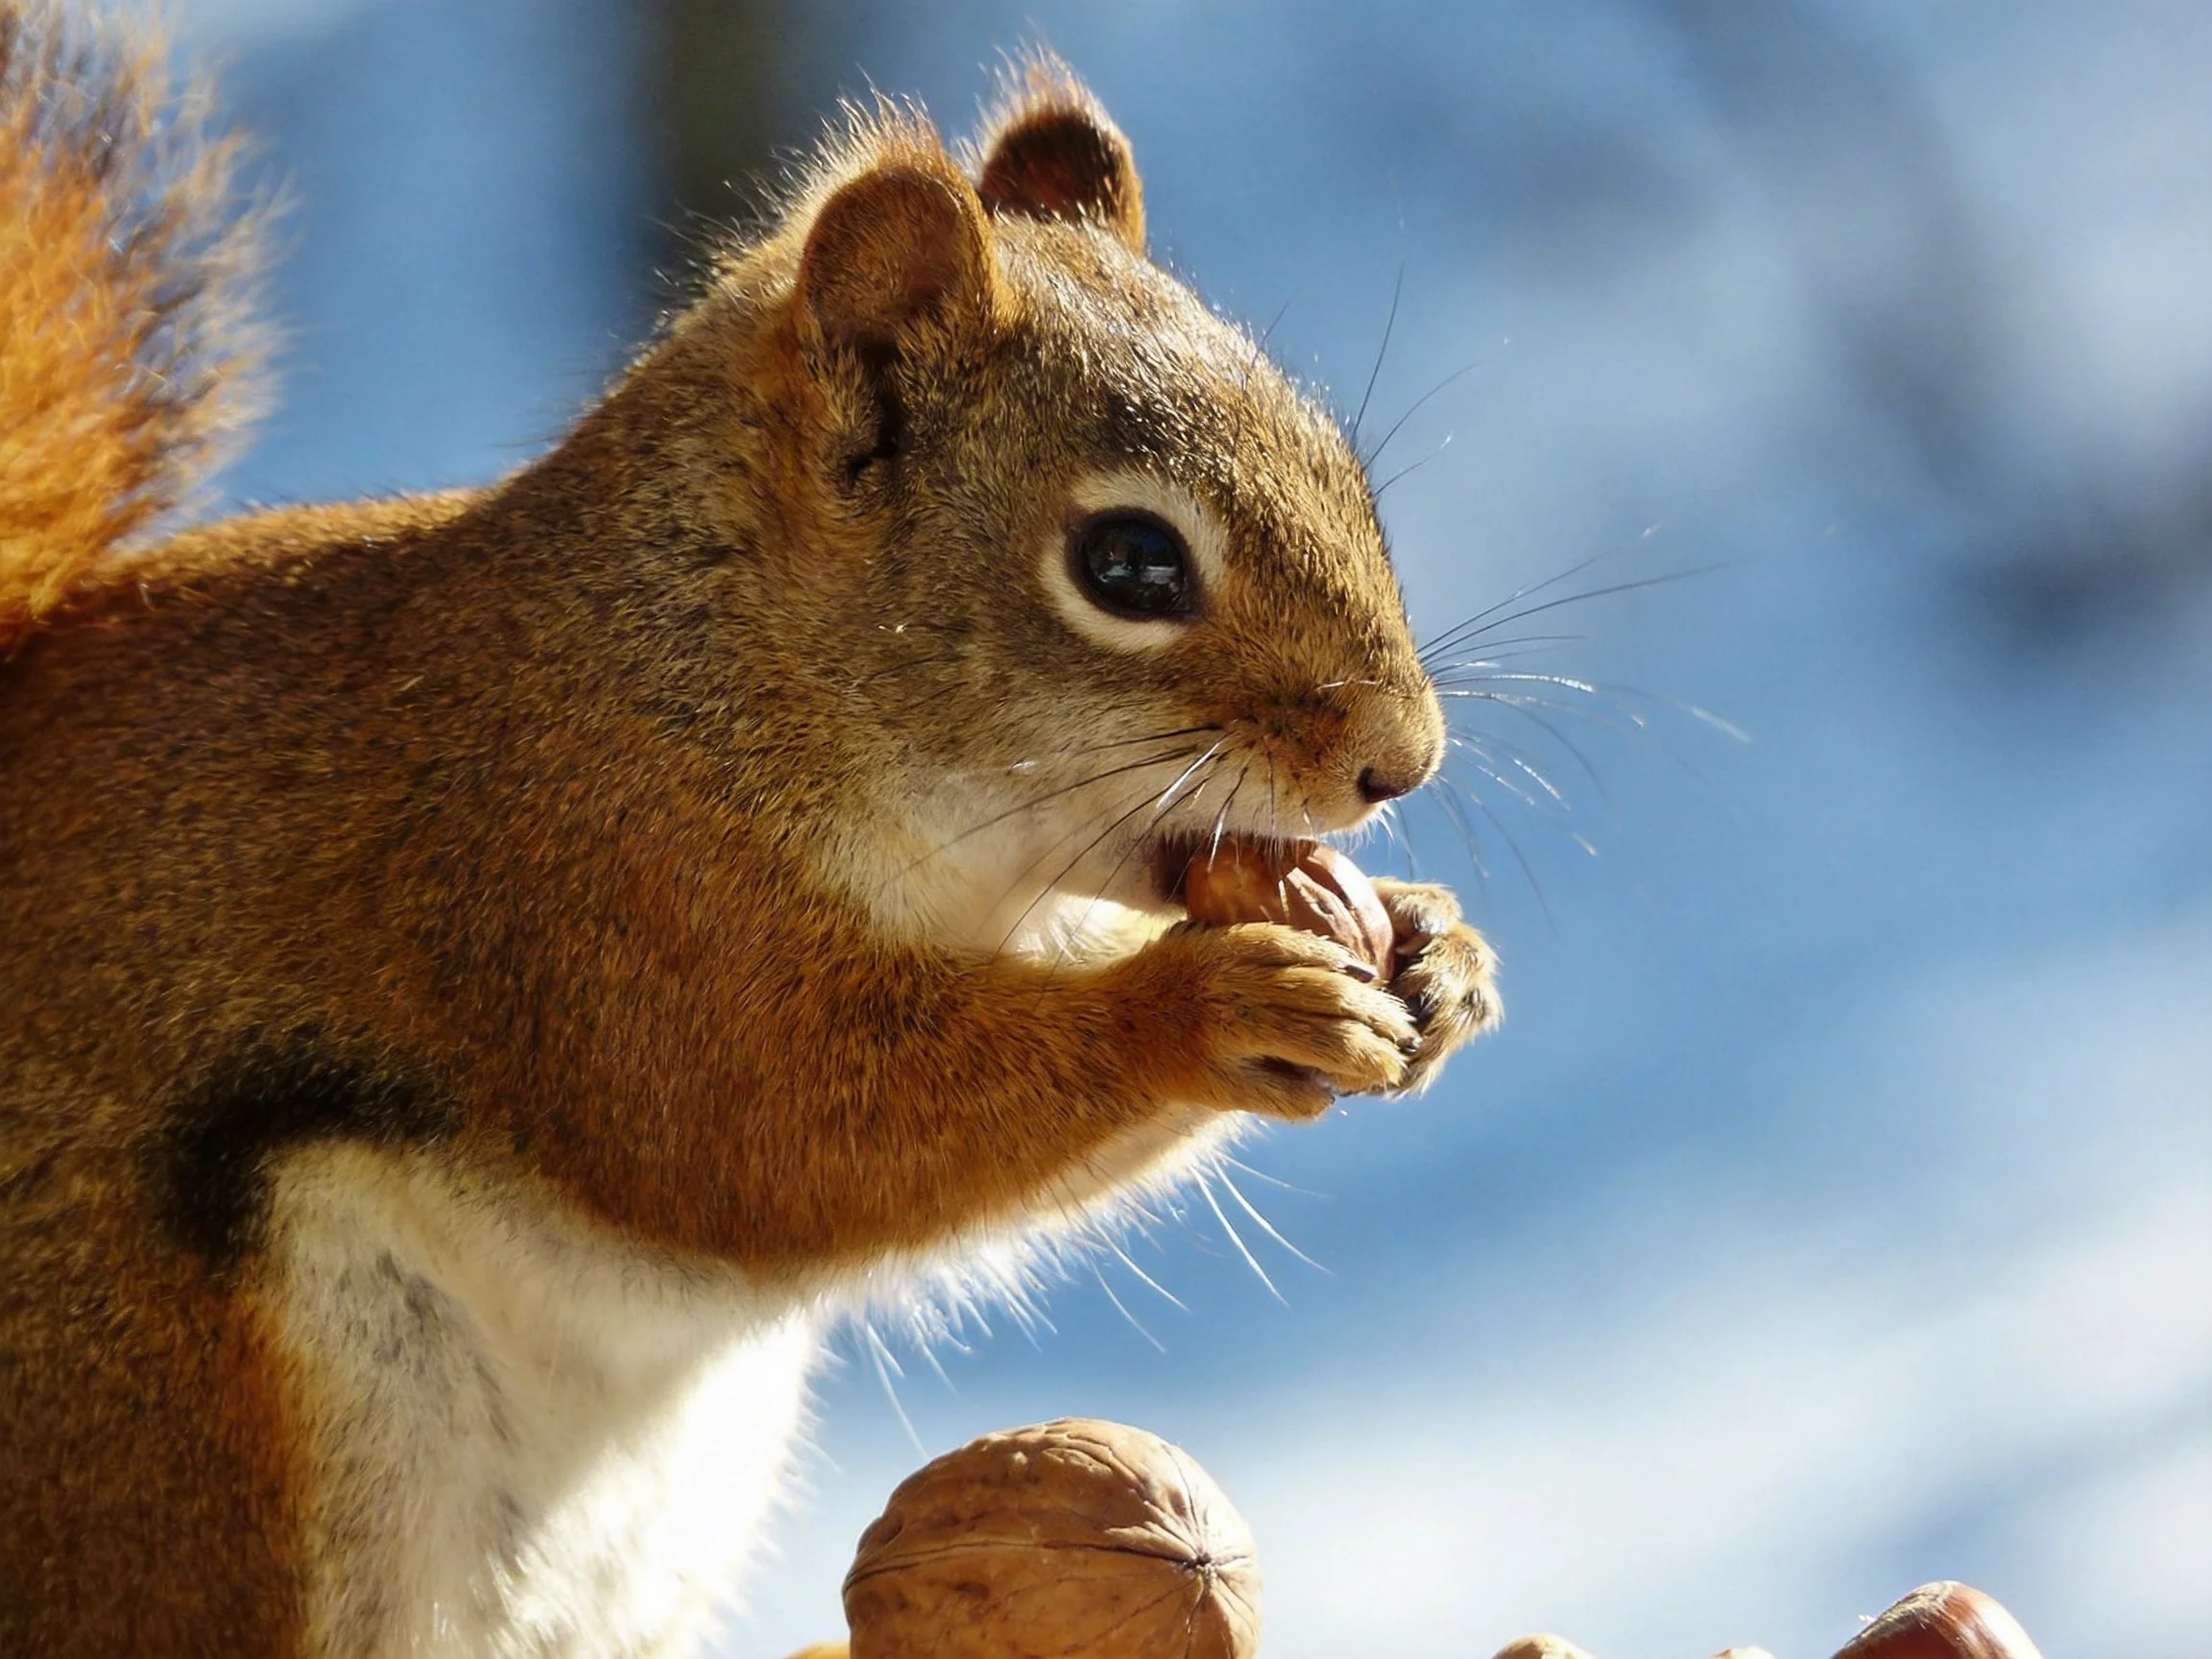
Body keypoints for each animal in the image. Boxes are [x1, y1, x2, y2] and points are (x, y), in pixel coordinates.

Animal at [0, 3, 1498, 1654]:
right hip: (186, 1432)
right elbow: (772, 1132)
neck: (728, 662)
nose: (1401, 761)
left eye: (1340, 464)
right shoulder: (600, 890)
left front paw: (1437, 952)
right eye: (1129, 563)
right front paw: (1214, 1007)